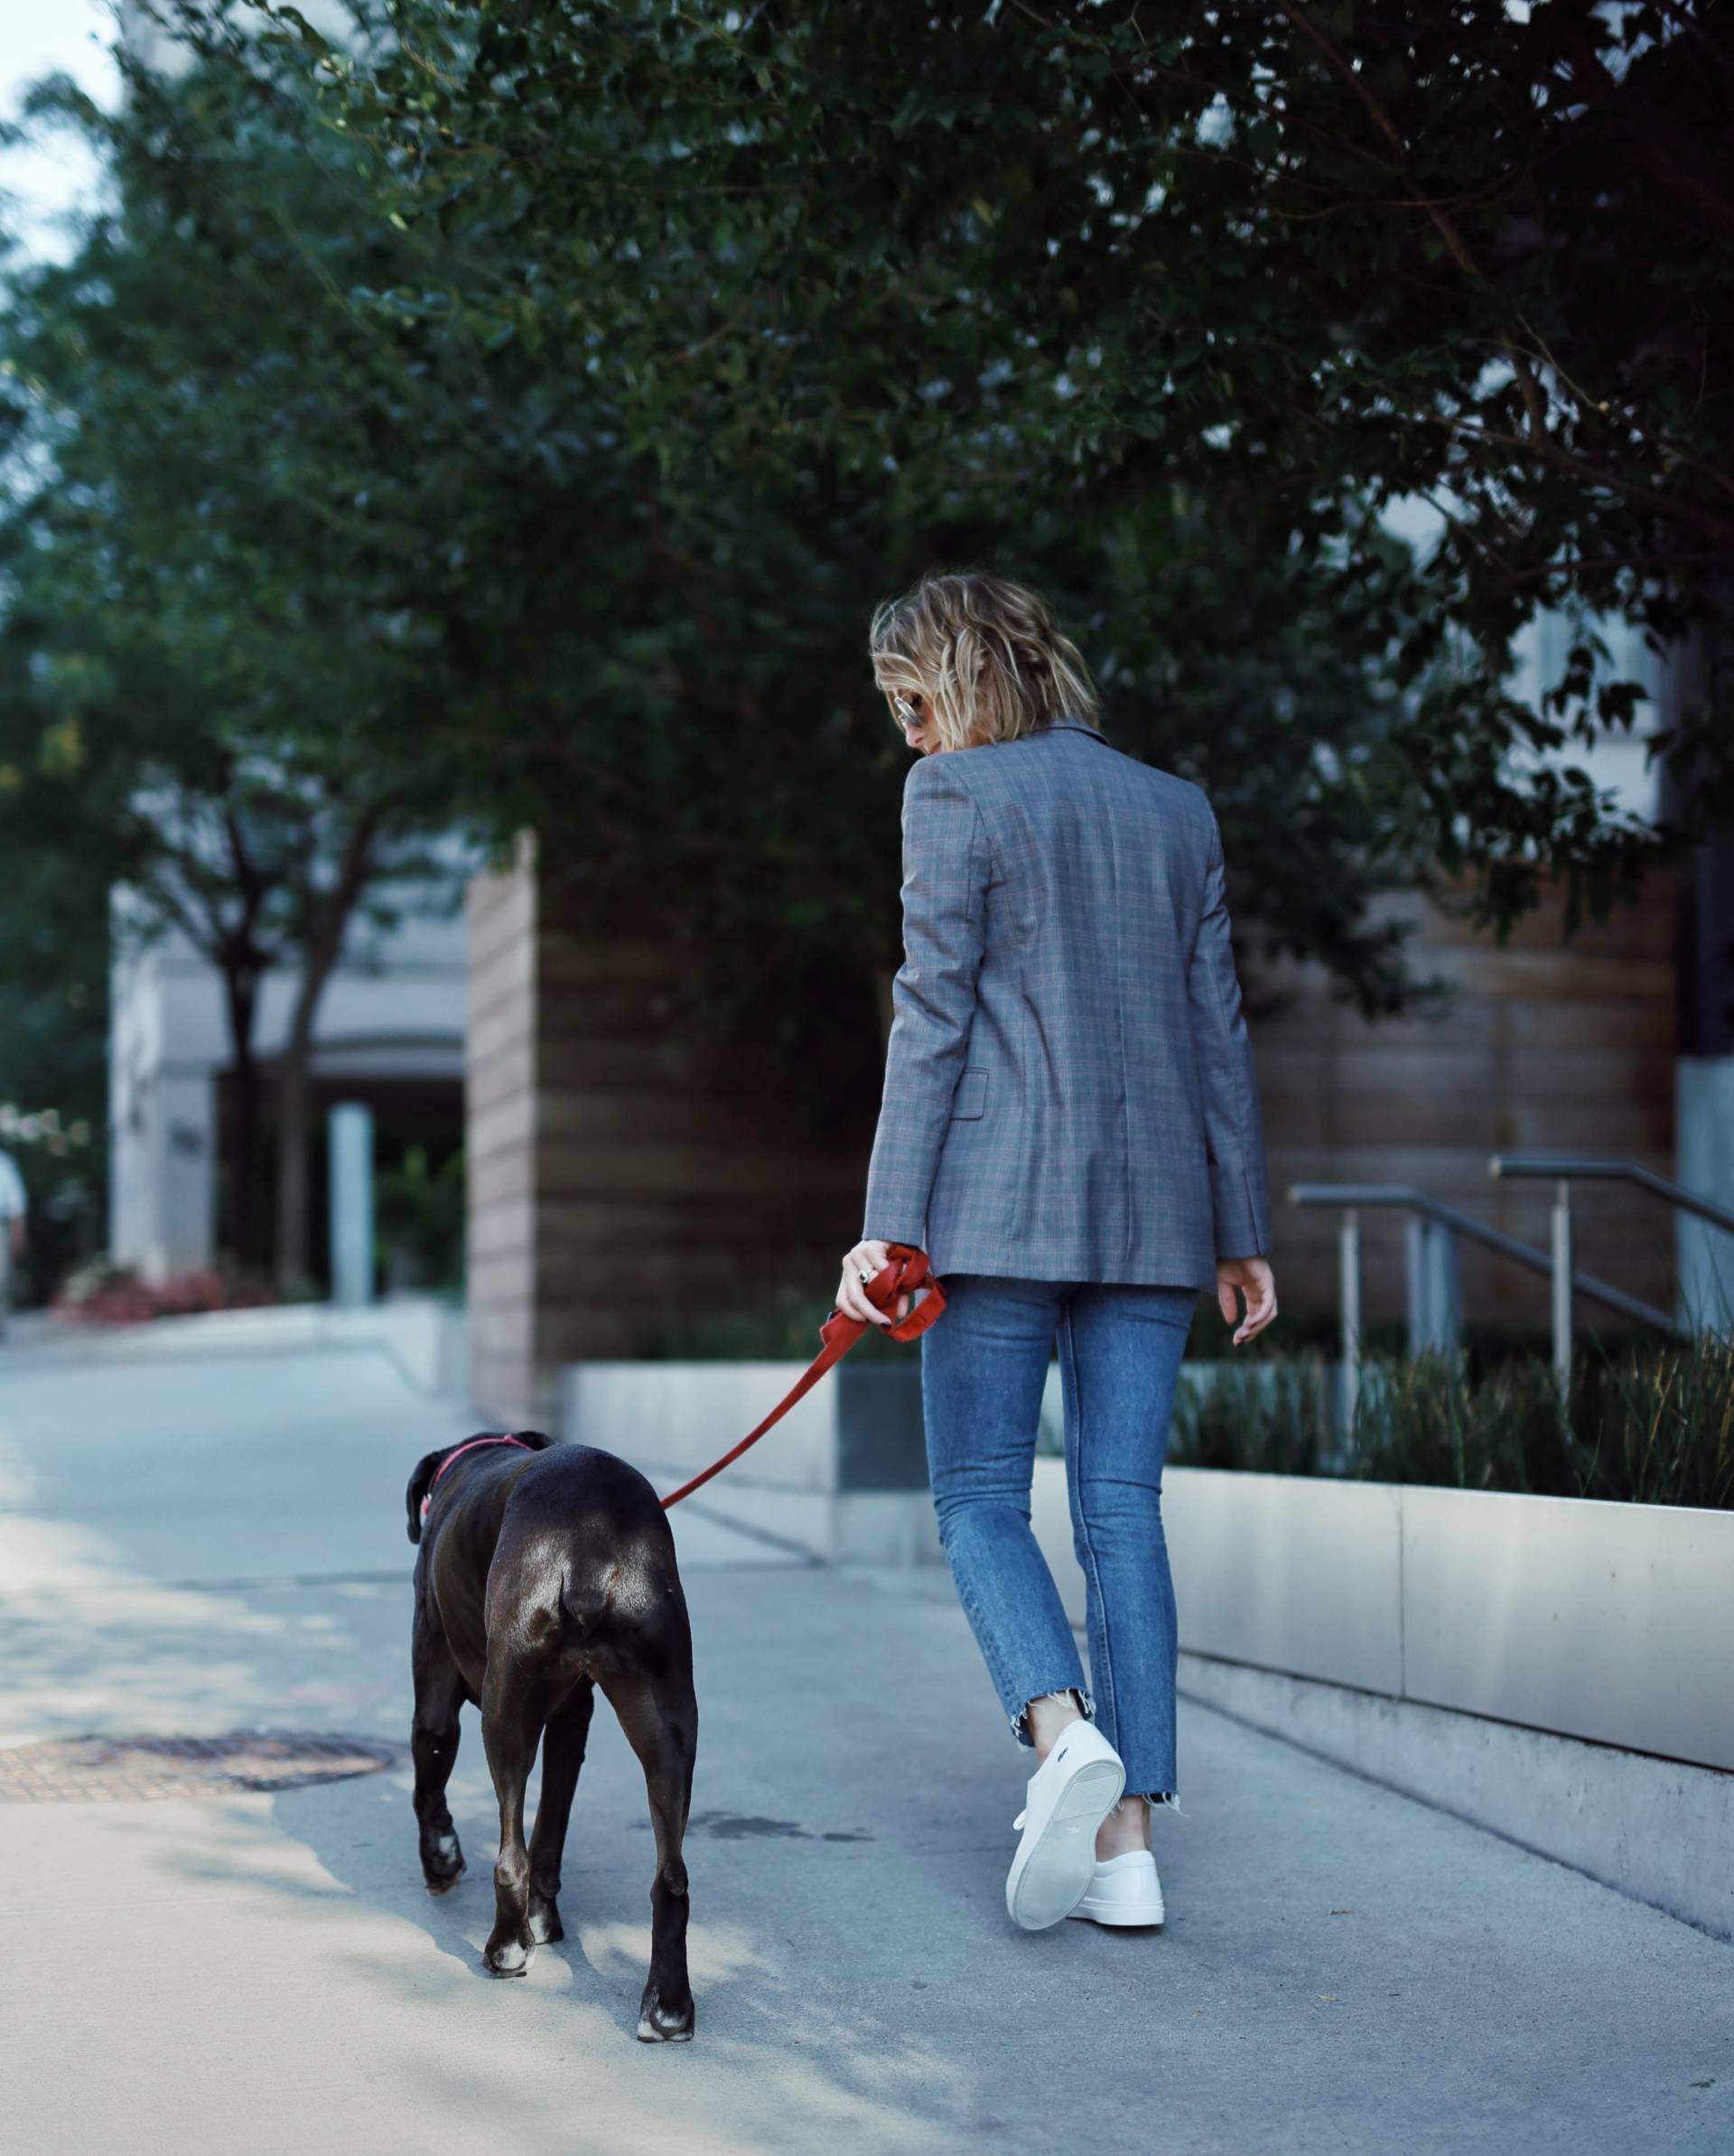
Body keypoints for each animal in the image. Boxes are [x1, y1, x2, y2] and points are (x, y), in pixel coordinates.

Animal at [405, 1431, 698, 2035]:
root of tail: (589, 1539)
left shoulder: (435, 1689)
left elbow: (428, 1784)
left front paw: (441, 1860)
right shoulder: (572, 1719)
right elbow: (552, 1829)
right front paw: (544, 1918)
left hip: (503, 1711)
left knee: (509, 1855)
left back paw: (505, 1949)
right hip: (669, 1721)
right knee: (671, 1878)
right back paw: (668, 2005)